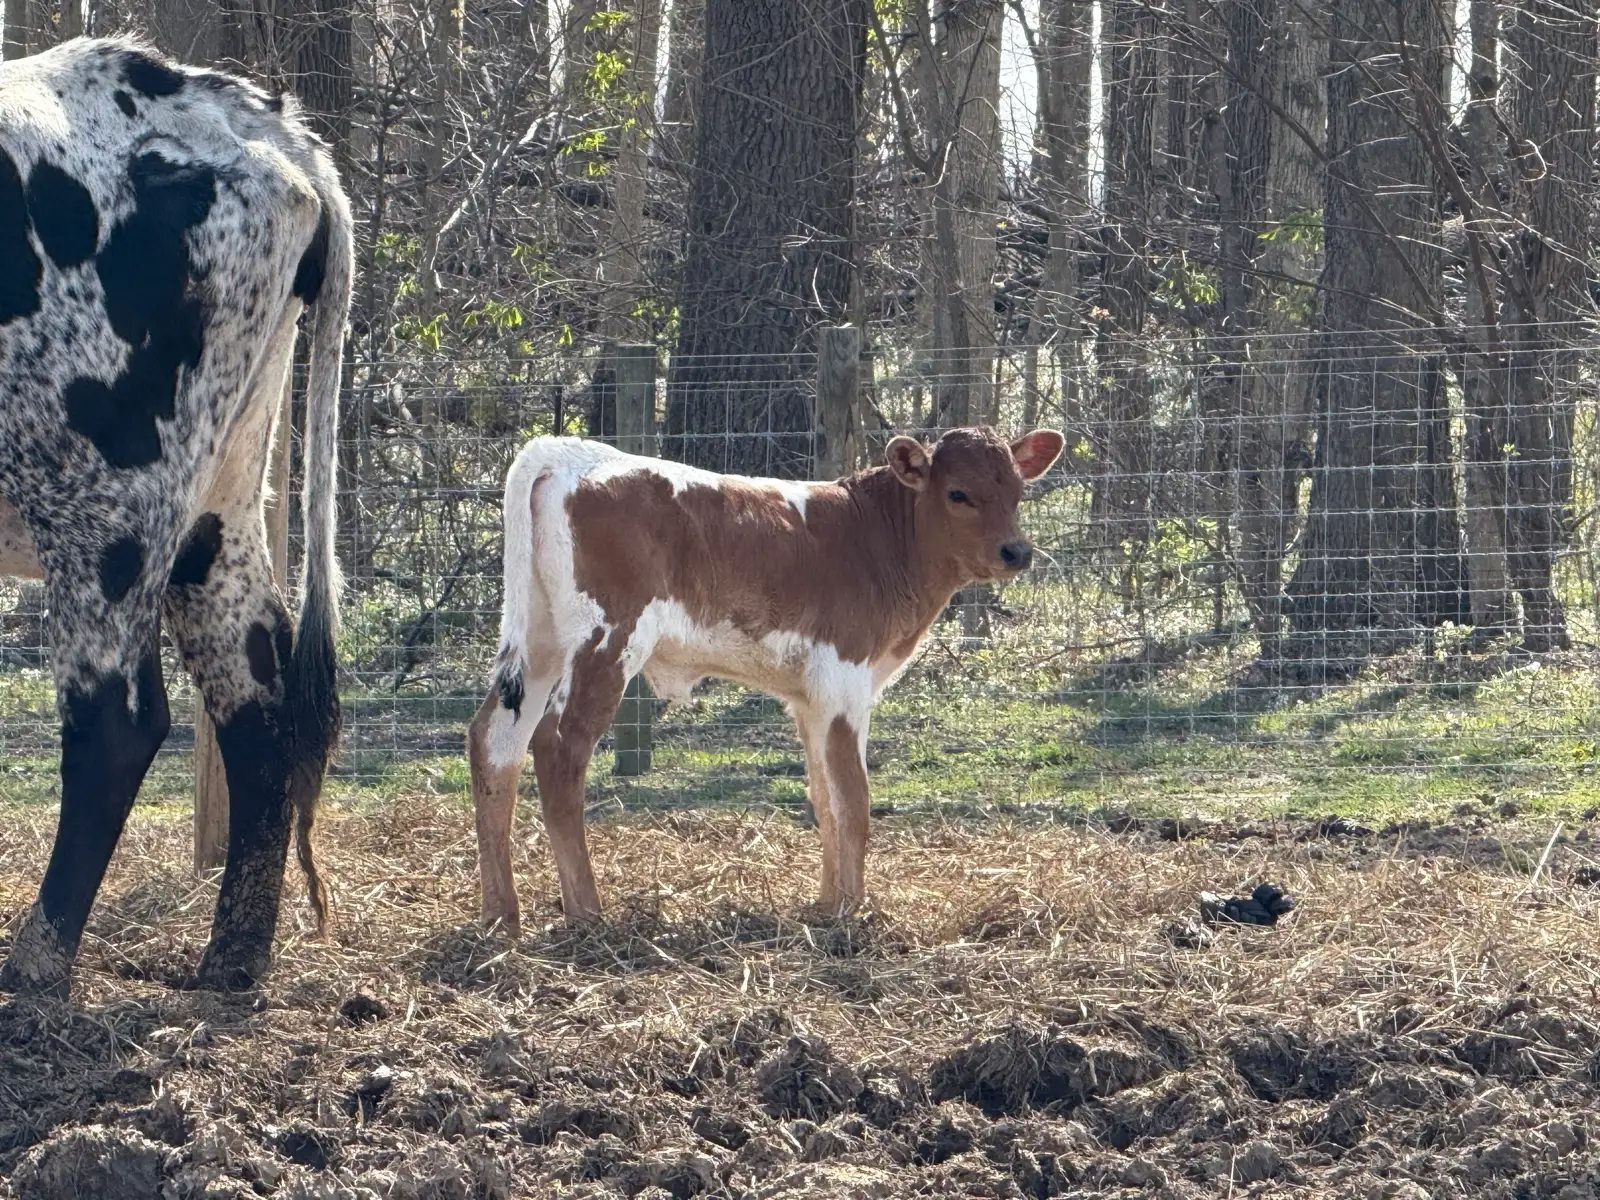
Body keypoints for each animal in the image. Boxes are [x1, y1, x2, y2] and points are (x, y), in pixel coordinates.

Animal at [0, 38, 353, 995]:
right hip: (214, 504)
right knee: (258, 699)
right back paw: (231, 957)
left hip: (104, 503)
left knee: (115, 725)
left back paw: (35, 967)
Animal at [467, 426, 1065, 934]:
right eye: (958, 493)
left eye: (1017, 490)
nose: (1017, 551)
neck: (875, 537)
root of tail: (569, 453)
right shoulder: (844, 682)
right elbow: (854, 800)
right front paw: (852, 912)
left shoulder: (809, 699)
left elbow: (824, 799)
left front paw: (827, 905)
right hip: (607, 641)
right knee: (558, 748)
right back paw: (587, 912)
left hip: (541, 642)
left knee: (495, 742)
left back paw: (502, 914)